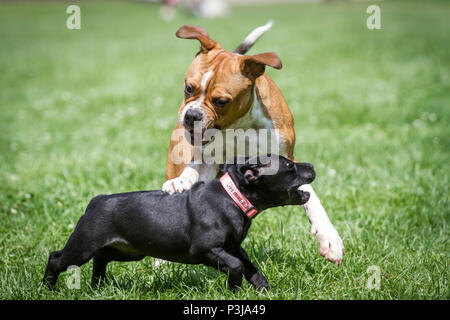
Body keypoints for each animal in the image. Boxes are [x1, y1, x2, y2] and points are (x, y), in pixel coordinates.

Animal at [44, 155, 314, 290]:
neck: (234, 197)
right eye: (289, 167)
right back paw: (48, 288)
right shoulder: (206, 250)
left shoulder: (234, 247)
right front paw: (234, 290)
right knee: (57, 259)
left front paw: (265, 290)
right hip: (84, 245)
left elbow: (251, 268)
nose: (311, 165)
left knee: (101, 258)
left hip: (129, 251)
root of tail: (96, 201)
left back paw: (98, 286)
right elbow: (236, 266)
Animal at [162, 21, 344, 264]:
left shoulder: (287, 158)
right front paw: (181, 182)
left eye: (221, 101)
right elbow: (192, 172)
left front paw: (329, 237)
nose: (191, 115)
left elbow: (311, 197)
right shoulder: (206, 159)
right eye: (188, 88)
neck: (239, 126)